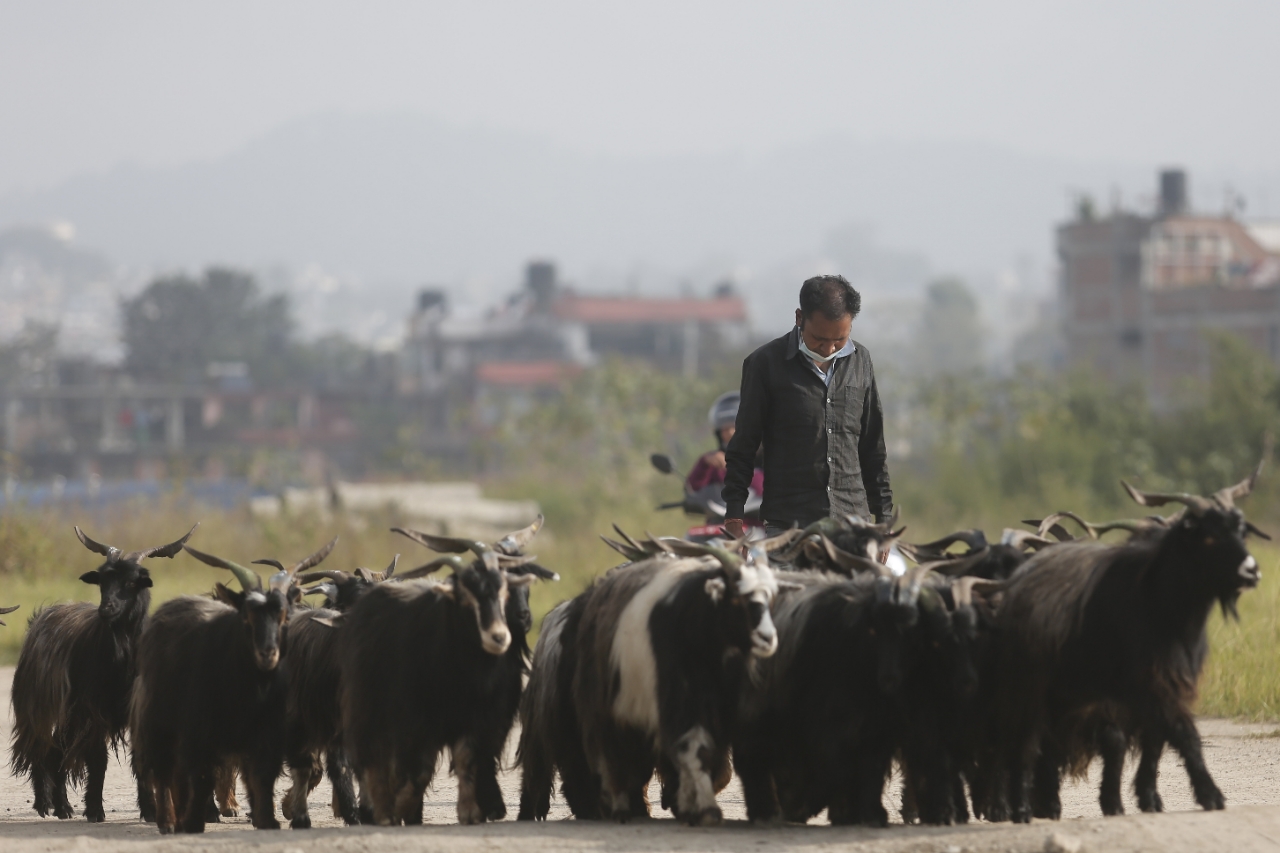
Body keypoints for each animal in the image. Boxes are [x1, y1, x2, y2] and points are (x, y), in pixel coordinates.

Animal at [11, 522, 197, 819]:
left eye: (132, 582)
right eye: (102, 582)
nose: (106, 608)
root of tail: (41, 617)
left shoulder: (133, 710)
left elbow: (138, 758)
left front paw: (149, 810)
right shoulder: (93, 710)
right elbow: (98, 760)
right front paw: (95, 811)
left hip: (69, 715)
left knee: (57, 751)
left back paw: (63, 807)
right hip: (40, 708)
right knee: (43, 748)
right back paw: (45, 804)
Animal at [988, 466, 1259, 819]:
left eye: (1241, 530)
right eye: (1209, 535)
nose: (1251, 571)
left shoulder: (1152, 693)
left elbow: (1155, 740)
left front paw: (1145, 799)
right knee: (1023, 740)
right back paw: (1020, 806)